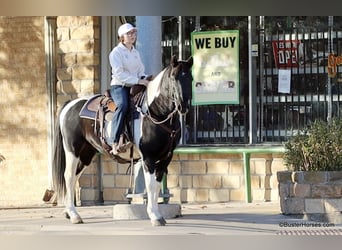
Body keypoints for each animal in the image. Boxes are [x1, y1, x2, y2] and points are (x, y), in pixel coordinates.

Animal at [52, 55, 194, 226]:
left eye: (191, 78)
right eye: (173, 77)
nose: (183, 106)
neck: (155, 111)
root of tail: (70, 105)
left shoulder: (166, 158)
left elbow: (157, 185)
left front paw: (158, 215)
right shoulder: (148, 158)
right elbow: (151, 185)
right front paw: (154, 216)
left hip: (86, 154)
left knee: (75, 177)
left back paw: (69, 211)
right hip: (72, 150)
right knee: (69, 176)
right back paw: (74, 215)